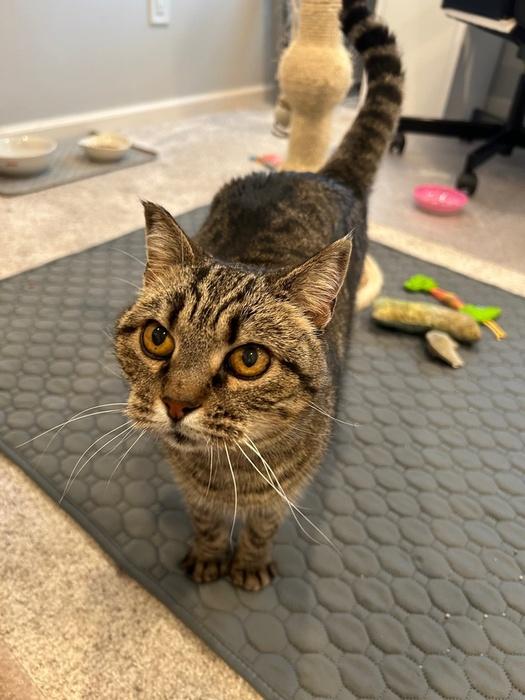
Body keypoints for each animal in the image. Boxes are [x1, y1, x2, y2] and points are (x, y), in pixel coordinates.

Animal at [115, 0, 403, 591]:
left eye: (249, 359)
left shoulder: (280, 496)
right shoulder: (193, 489)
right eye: (157, 338)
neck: (229, 471)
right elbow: (205, 522)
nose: (175, 404)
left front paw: (246, 565)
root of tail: (324, 173)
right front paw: (209, 557)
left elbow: (262, 528)